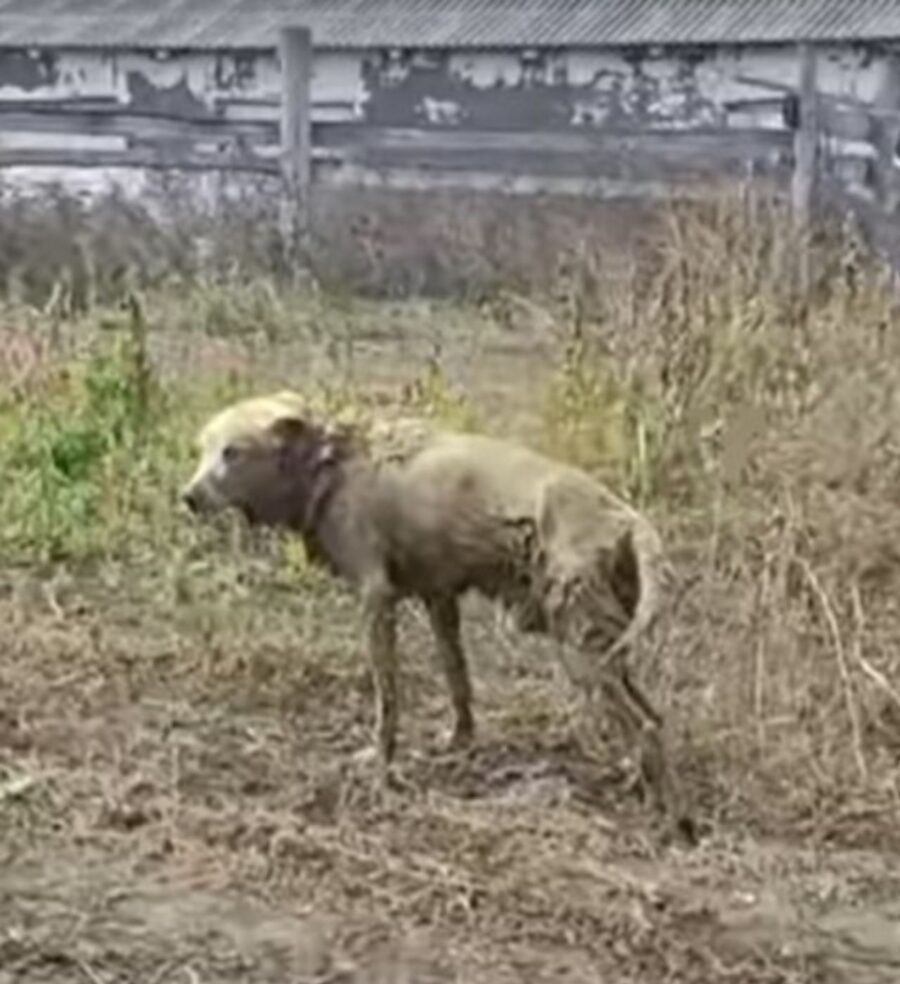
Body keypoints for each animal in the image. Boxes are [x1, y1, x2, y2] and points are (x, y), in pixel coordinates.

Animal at [183, 390, 688, 832]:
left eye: (232, 452)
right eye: (201, 450)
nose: (187, 497)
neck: (331, 466)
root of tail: (628, 519)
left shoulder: (376, 598)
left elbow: (388, 699)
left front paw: (380, 766)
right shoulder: (439, 598)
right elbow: (456, 677)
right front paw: (458, 743)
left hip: (580, 650)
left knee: (645, 726)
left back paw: (664, 816)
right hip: (600, 645)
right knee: (656, 718)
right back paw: (638, 782)